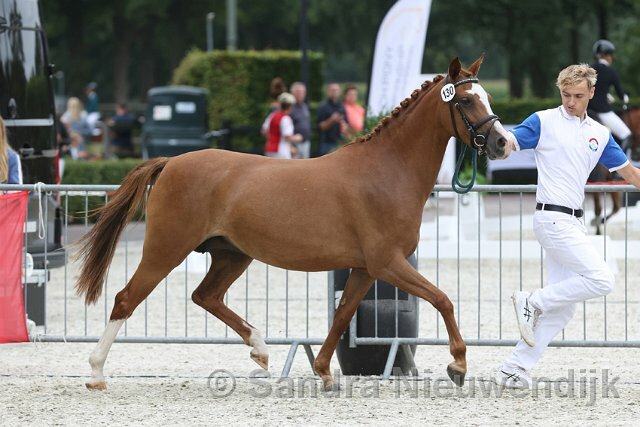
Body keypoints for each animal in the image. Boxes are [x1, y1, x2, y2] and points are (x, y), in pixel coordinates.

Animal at [75, 55, 511, 392]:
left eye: (487, 97)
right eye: (467, 99)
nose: (503, 143)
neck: (387, 171)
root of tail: (170, 163)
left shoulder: (365, 268)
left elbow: (343, 315)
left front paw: (324, 372)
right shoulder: (388, 262)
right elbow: (442, 299)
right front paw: (457, 365)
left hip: (231, 255)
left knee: (206, 296)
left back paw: (260, 348)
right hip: (166, 248)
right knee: (126, 299)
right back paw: (96, 373)